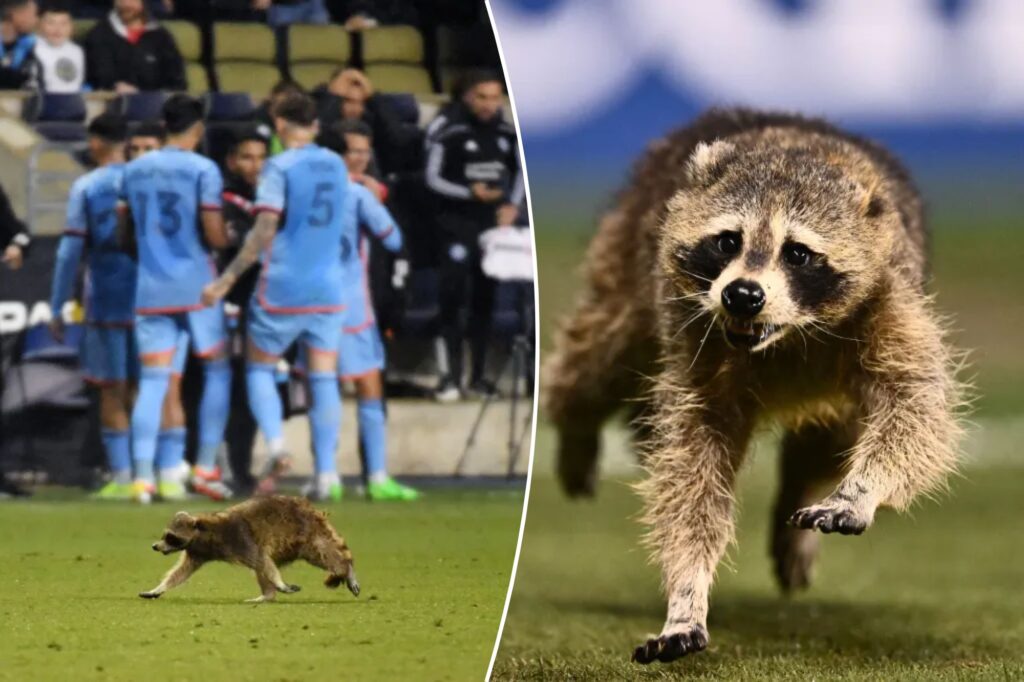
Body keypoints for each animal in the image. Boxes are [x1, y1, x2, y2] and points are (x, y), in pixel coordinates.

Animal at [140, 496, 359, 602]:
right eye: (164, 536)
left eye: (171, 537)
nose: (155, 546)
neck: (203, 531)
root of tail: (312, 509)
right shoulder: (197, 552)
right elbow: (181, 572)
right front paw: (158, 588)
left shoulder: (240, 539)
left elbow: (261, 559)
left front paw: (280, 583)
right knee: (262, 569)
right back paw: (268, 595)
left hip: (306, 534)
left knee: (323, 554)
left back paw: (346, 568)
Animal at [543, 109, 965, 664]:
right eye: (728, 241)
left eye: (798, 254)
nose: (743, 295)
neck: (781, 337)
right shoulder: (694, 342)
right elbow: (691, 470)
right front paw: (687, 593)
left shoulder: (889, 297)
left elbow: (915, 407)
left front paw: (860, 491)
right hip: (629, 255)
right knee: (597, 354)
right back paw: (575, 427)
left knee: (832, 438)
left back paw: (800, 499)